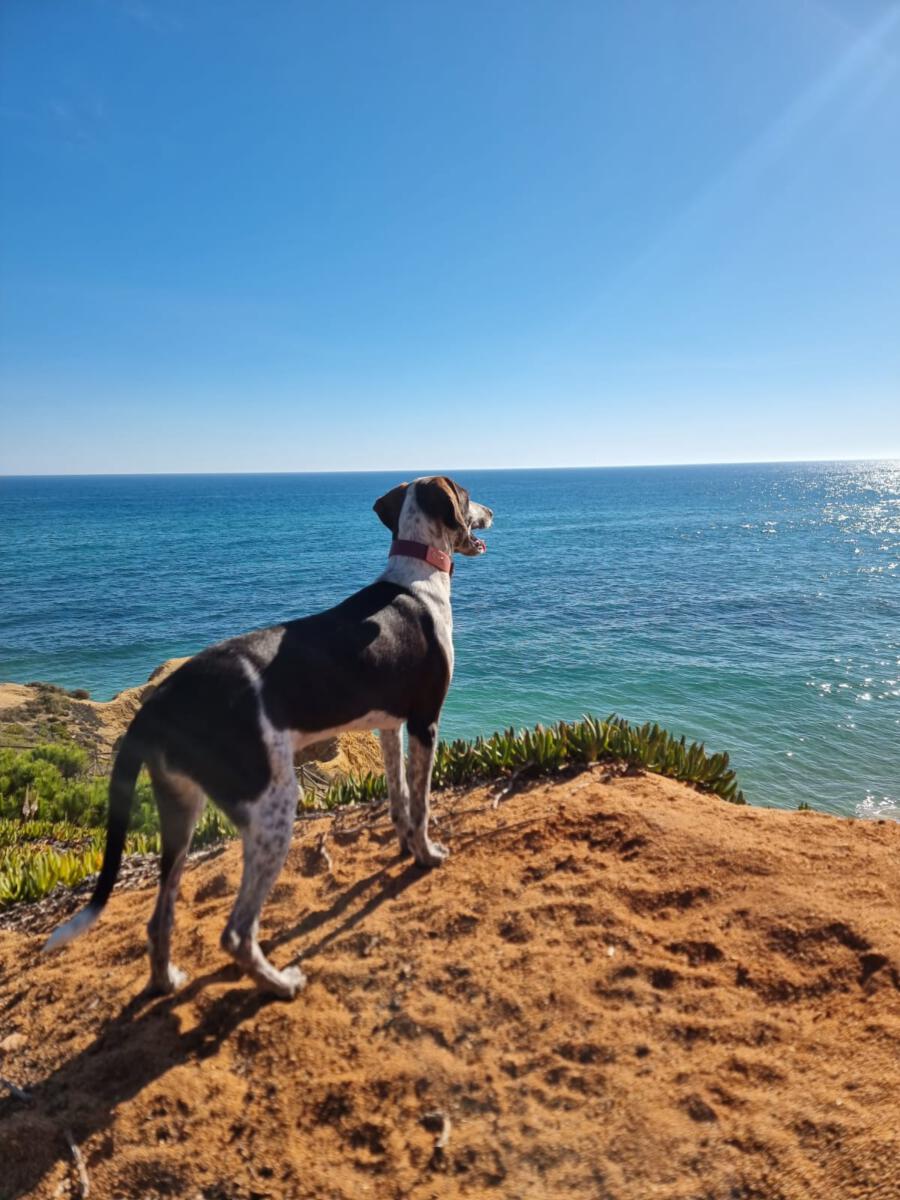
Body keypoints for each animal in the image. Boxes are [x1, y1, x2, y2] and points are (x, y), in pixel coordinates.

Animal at [44, 475, 493, 1000]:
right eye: (467, 495)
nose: (492, 513)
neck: (416, 577)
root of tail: (160, 704)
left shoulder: (387, 724)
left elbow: (399, 796)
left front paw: (403, 845)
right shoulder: (424, 721)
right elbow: (420, 805)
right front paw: (424, 855)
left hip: (181, 811)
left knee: (159, 919)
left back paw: (165, 982)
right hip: (272, 809)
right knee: (235, 932)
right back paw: (280, 983)